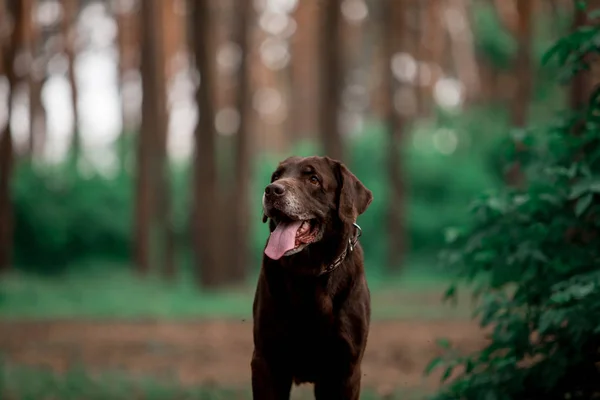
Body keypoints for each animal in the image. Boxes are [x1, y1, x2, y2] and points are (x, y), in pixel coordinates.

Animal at [251, 156, 372, 400]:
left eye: (314, 179)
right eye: (276, 176)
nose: (272, 190)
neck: (308, 272)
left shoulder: (345, 369)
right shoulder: (266, 361)